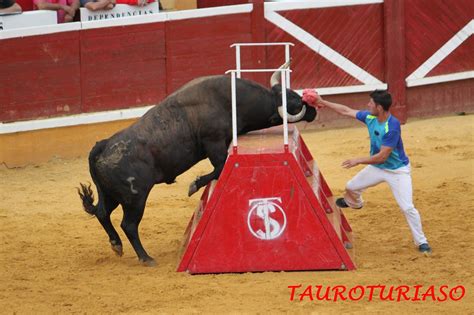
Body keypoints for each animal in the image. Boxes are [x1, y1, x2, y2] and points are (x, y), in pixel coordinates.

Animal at [78, 74, 316, 266]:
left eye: (293, 94)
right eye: (296, 103)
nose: (313, 109)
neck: (232, 100)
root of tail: (103, 145)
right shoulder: (214, 142)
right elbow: (219, 168)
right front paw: (194, 185)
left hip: (112, 195)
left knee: (102, 213)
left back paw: (116, 245)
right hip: (135, 197)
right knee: (128, 224)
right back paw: (146, 258)